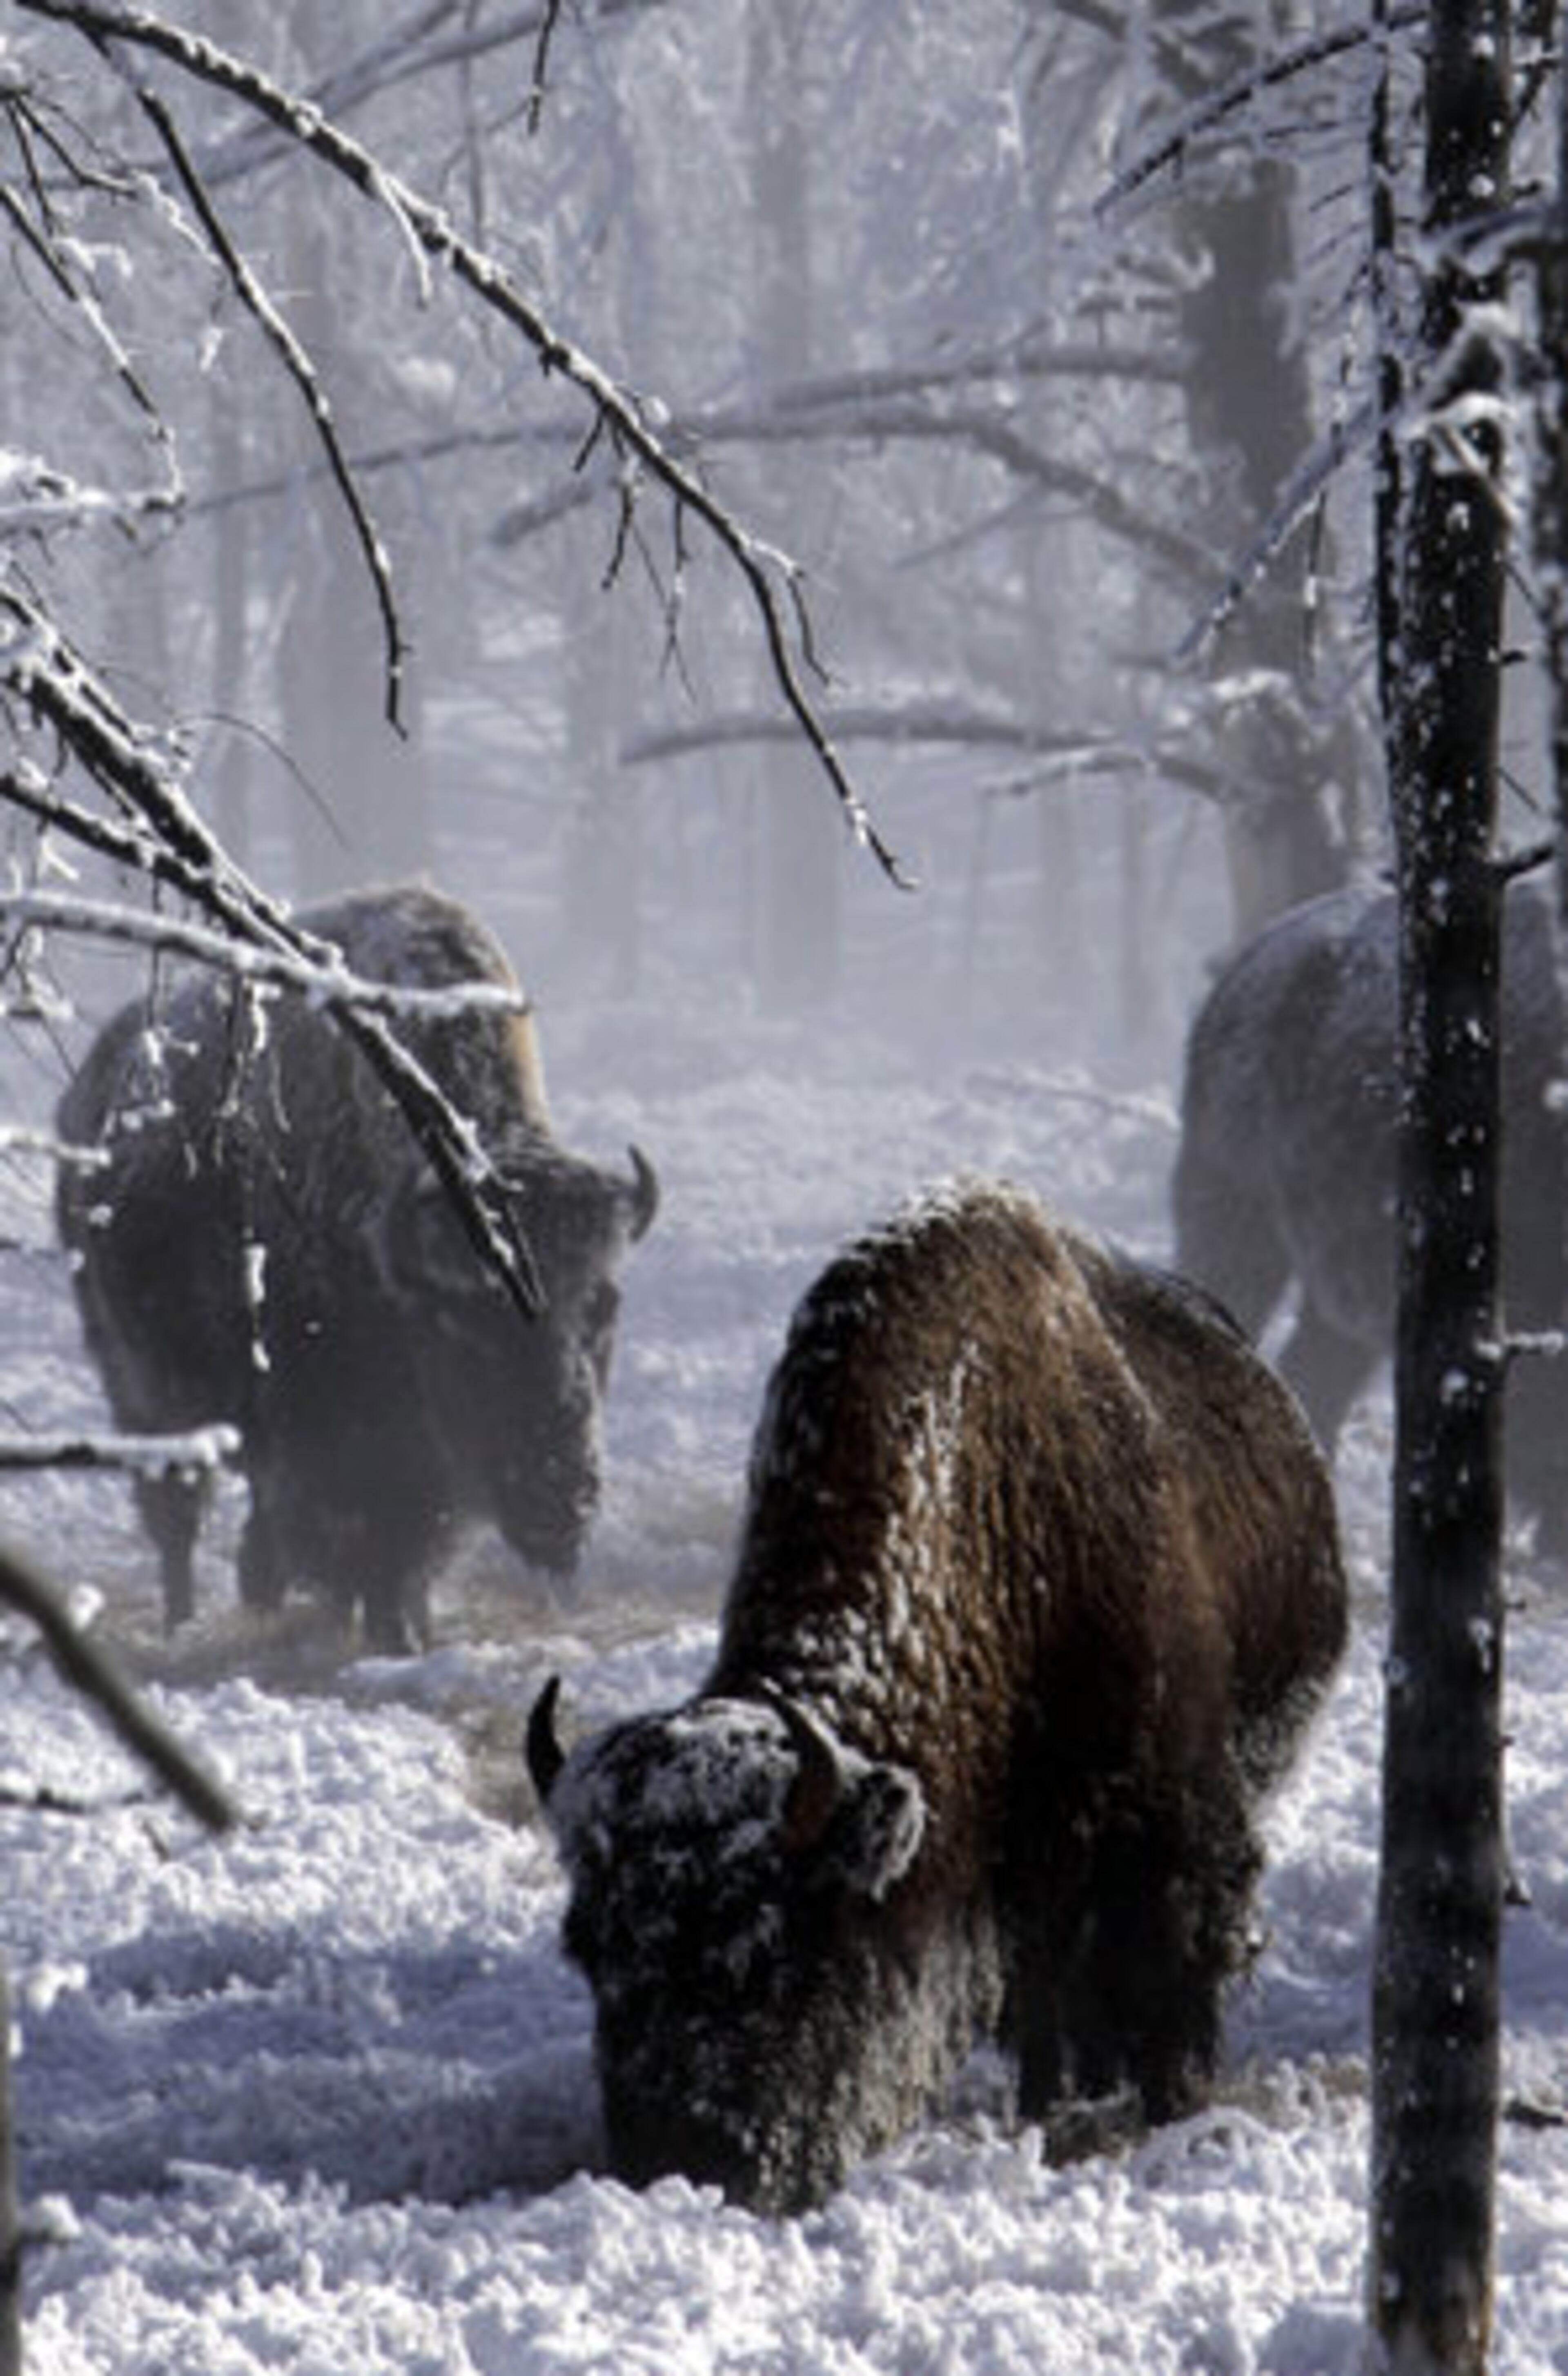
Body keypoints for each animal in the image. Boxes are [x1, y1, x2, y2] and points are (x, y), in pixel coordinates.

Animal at [56, 882, 657, 1650]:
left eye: (604, 1307)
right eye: (464, 1323)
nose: (561, 1502)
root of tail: (91, 1091)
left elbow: (404, 1555)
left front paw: (410, 1632)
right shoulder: (341, 1443)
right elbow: (371, 1549)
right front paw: (389, 1636)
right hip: (143, 1394)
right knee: (177, 1522)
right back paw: (183, 1625)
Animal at [528, 1179, 1345, 2212]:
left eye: (775, 1949)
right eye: (590, 1948)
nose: (683, 2168)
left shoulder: (1171, 1831)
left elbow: (1172, 1991)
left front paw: (1176, 2116)